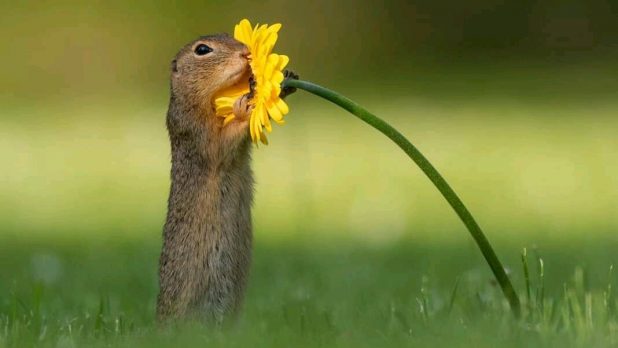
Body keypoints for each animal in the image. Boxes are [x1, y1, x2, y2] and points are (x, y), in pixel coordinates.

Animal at [156, 33, 296, 324]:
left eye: (232, 37)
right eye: (202, 50)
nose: (245, 52)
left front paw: (284, 82)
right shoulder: (195, 130)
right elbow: (220, 145)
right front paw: (243, 105)